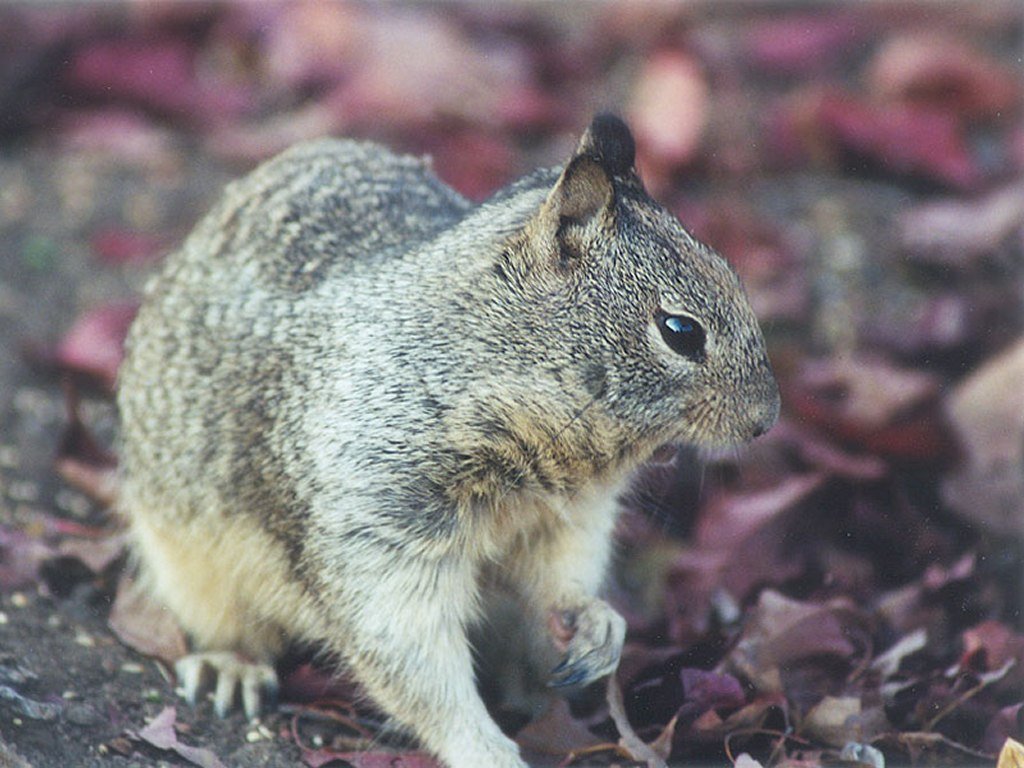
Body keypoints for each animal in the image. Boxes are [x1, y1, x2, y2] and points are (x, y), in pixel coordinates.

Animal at [116, 115, 778, 768]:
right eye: (680, 330)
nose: (766, 419)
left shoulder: (569, 524)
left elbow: (562, 585)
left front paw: (597, 625)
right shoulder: (379, 534)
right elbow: (416, 666)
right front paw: (486, 750)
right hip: (190, 565)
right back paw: (232, 668)